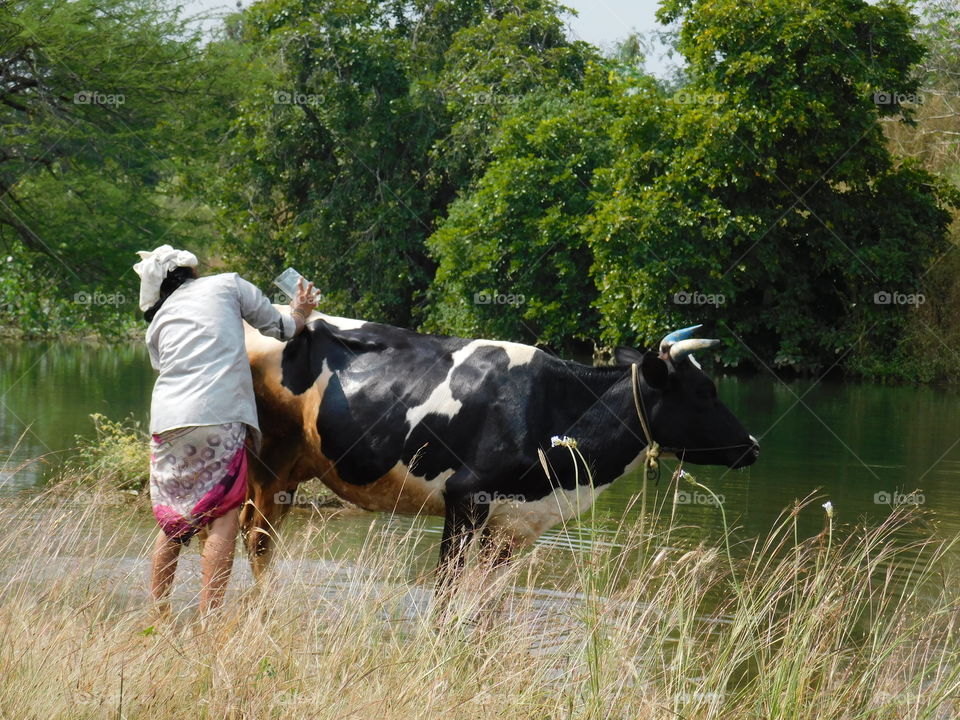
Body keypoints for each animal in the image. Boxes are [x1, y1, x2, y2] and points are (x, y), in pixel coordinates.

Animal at [240, 316, 756, 592]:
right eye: (705, 392)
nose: (753, 446)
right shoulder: (467, 498)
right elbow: (448, 589)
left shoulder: (516, 524)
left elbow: (486, 603)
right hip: (267, 462)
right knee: (255, 538)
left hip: (291, 470)